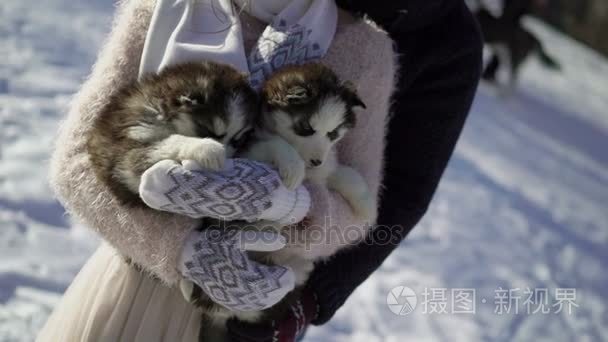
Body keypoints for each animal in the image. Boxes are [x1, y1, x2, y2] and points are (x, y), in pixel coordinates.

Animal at [86, 60, 255, 206]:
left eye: (237, 141)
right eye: (209, 131)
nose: (229, 159)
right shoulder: (125, 153)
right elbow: (170, 141)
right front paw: (207, 148)